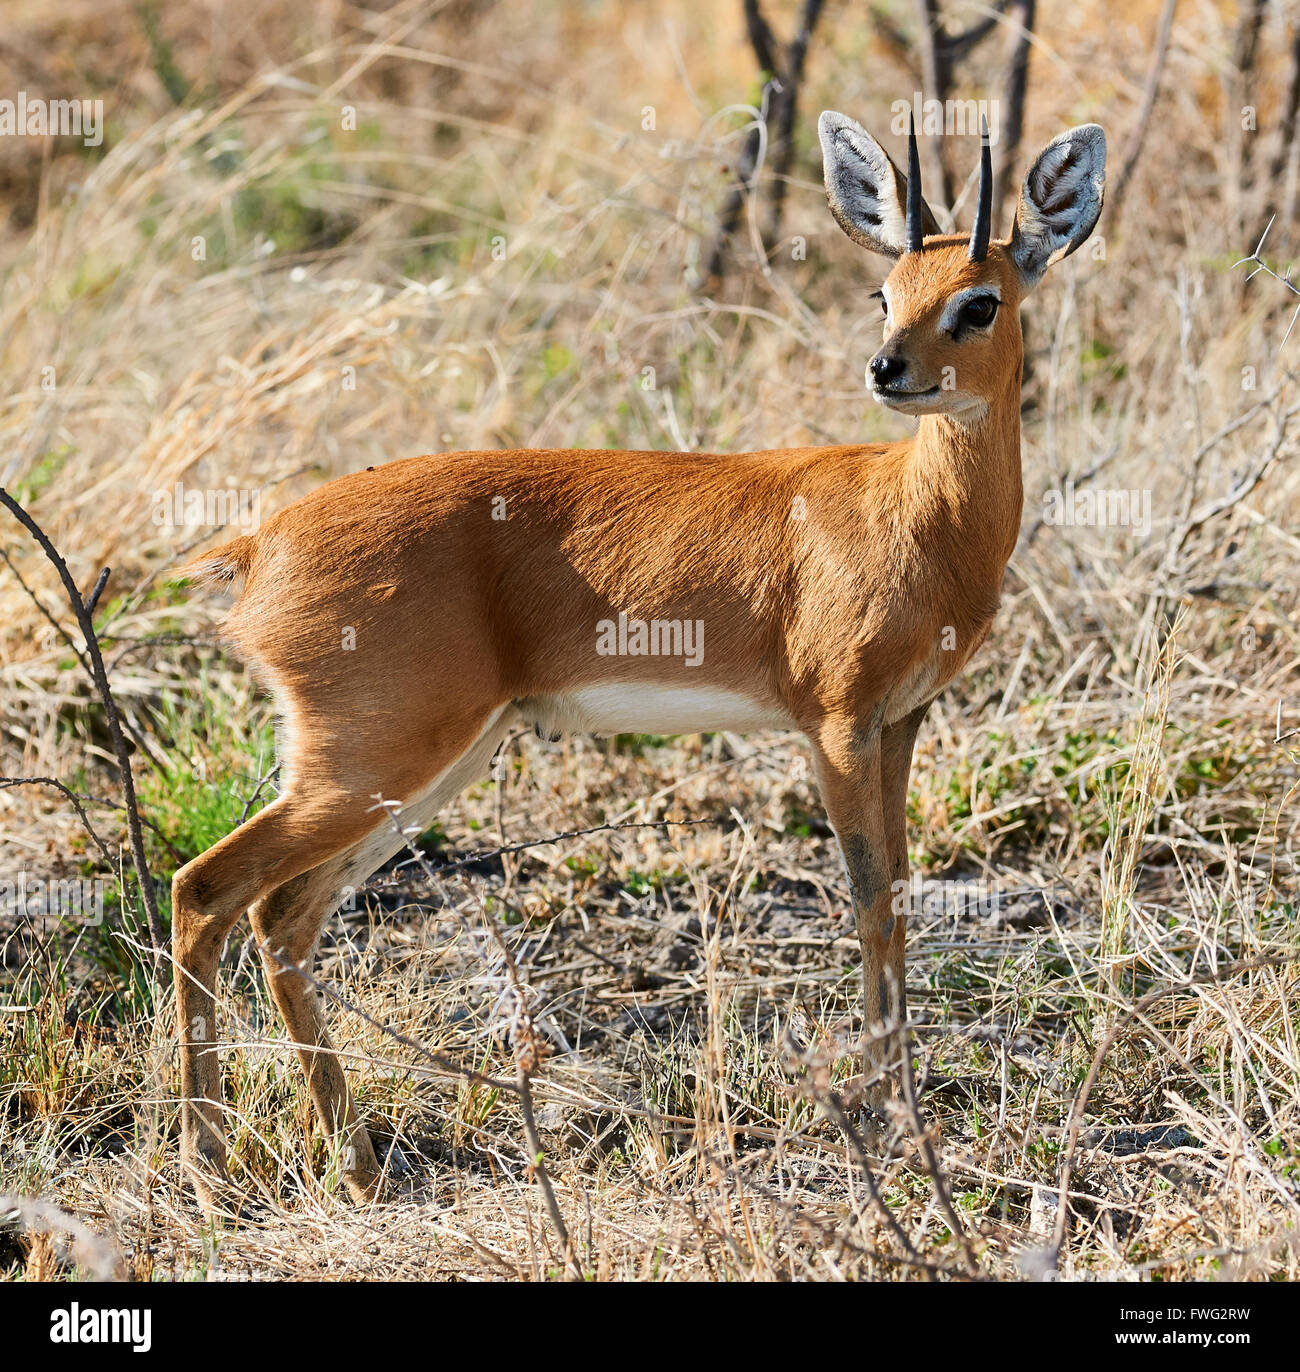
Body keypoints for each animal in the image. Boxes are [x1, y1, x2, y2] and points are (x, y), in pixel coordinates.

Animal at [172, 112, 1108, 1207]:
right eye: (886, 292)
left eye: (979, 300)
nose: (887, 369)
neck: (914, 519)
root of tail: (262, 543)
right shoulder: (835, 726)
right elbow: (870, 901)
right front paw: (888, 1111)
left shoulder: (901, 722)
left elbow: (902, 896)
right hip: (370, 762)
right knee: (206, 889)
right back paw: (207, 1166)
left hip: (426, 767)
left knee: (283, 916)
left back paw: (357, 1169)